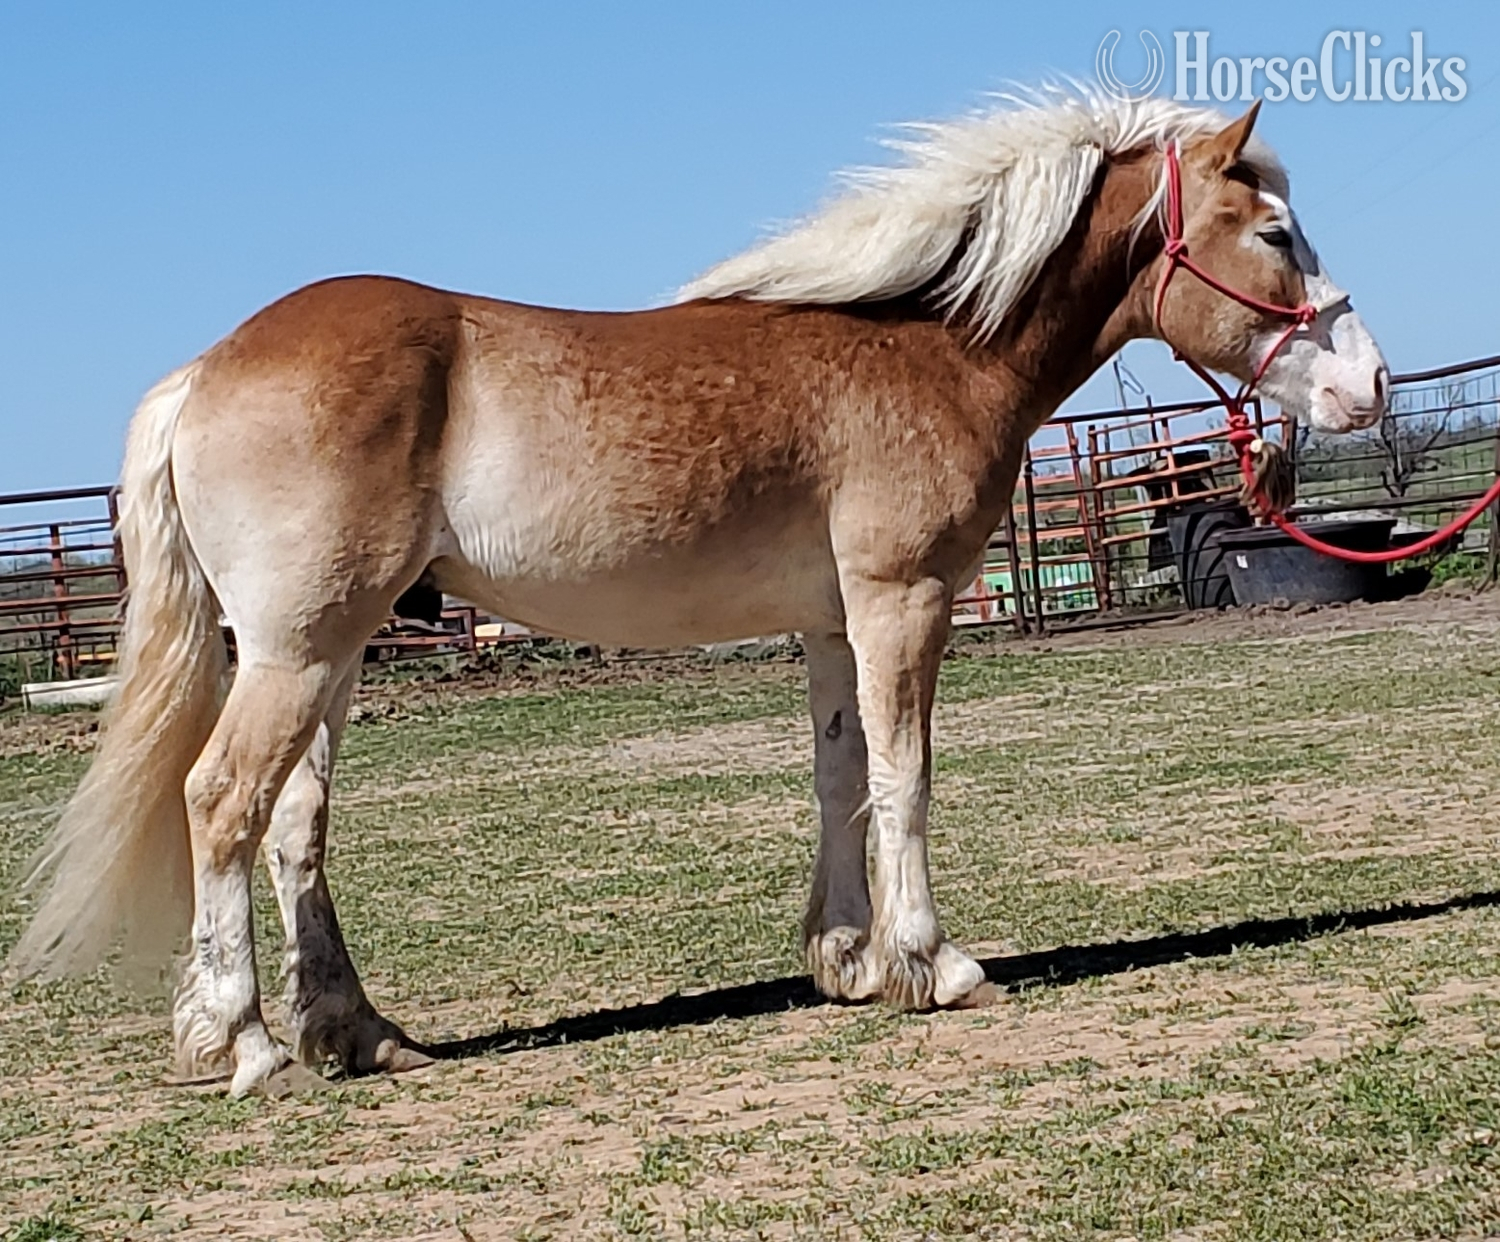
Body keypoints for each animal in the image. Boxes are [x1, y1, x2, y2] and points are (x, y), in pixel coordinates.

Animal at [9, 90, 1389, 1096]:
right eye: (1274, 233)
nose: (1365, 386)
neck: (927, 345)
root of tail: (205, 370)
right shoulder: (903, 600)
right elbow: (907, 778)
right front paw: (932, 962)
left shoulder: (835, 621)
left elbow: (842, 778)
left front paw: (847, 960)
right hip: (296, 649)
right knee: (222, 804)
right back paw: (244, 1044)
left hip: (328, 653)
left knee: (296, 823)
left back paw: (359, 1034)